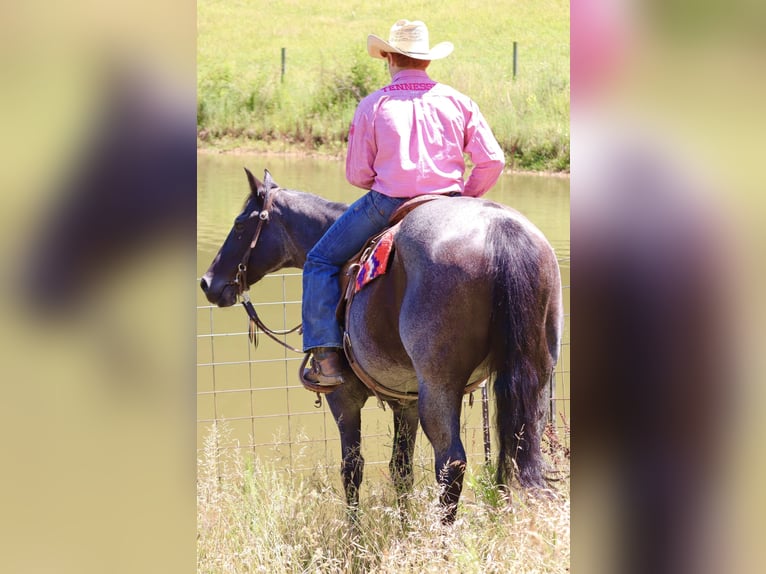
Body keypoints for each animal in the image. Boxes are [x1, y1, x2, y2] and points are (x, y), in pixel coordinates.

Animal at [202, 168, 564, 528]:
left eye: (239, 225)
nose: (208, 282)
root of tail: (500, 230)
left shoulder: (343, 397)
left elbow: (352, 468)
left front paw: (354, 532)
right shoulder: (406, 401)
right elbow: (400, 468)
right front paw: (402, 526)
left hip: (439, 387)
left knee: (451, 465)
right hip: (534, 379)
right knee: (518, 451)